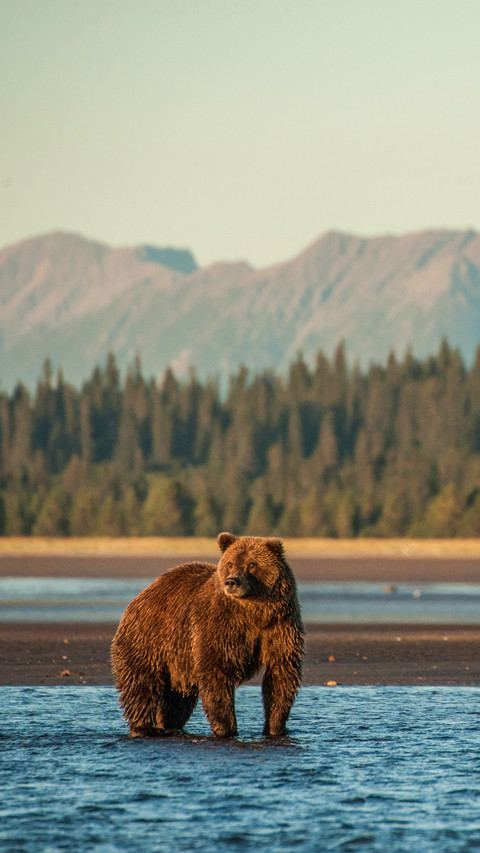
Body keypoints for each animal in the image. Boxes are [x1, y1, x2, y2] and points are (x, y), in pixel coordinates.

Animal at [111, 532, 304, 738]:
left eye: (252, 564)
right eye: (230, 563)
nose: (231, 582)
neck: (253, 612)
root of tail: (142, 595)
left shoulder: (278, 627)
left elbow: (280, 674)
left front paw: (275, 728)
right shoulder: (220, 626)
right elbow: (216, 673)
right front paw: (226, 729)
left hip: (178, 661)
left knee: (177, 701)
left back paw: (167, 725)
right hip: (149, 641)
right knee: (141, 686)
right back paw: (143, 727)